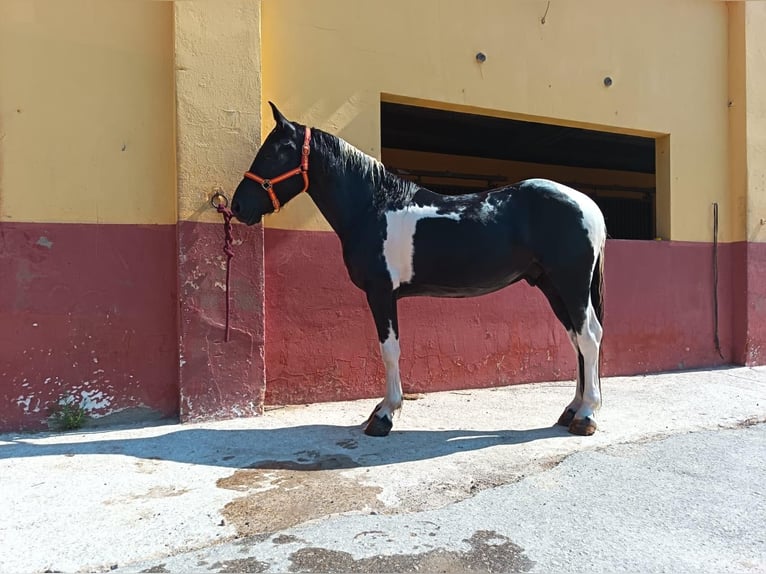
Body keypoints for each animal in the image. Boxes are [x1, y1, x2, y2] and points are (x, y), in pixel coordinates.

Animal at [231, 102, 606, 438]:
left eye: (276, 152)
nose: (237, 206)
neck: (372, 207)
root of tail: (588, 205)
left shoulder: (381, 292)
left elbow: (389, 350)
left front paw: (385, 415)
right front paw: (381, 411)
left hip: (570, 283)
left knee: (588, 337)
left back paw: (586, 416)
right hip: (551, 285)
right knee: (577, 339)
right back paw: (572, 410)